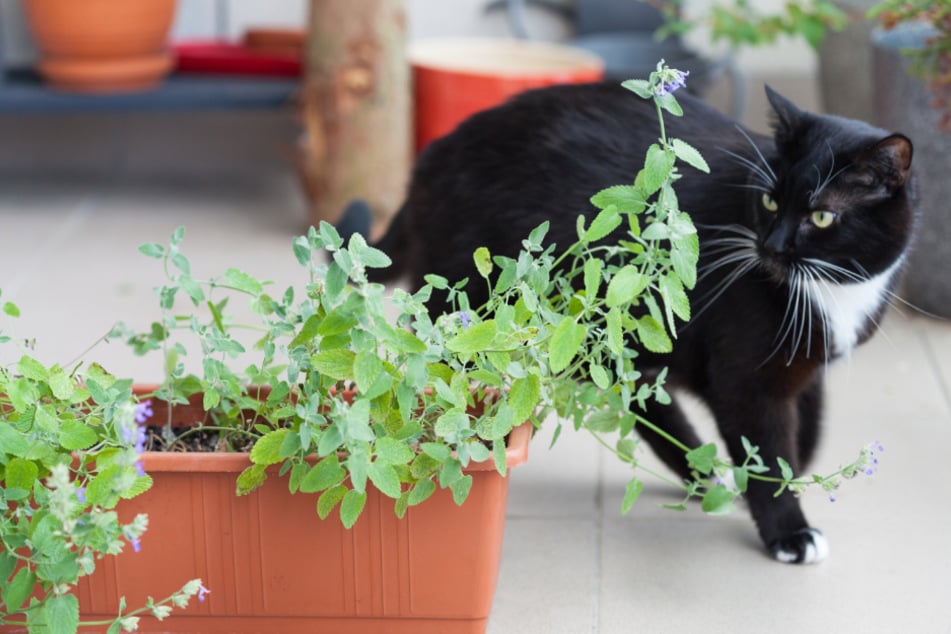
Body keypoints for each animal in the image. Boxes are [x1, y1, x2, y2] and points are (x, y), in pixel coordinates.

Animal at [356, 81, 916, 560]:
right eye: (770, 200)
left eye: (822, 216)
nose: (770, 247)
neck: (826, 293)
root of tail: (433, 154)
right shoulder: (745, 379)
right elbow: (763, 445)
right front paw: (788, 527)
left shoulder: (805, 363)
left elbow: (808, 424)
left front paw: (795, 473)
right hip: (473, 308)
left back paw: (701, 474)